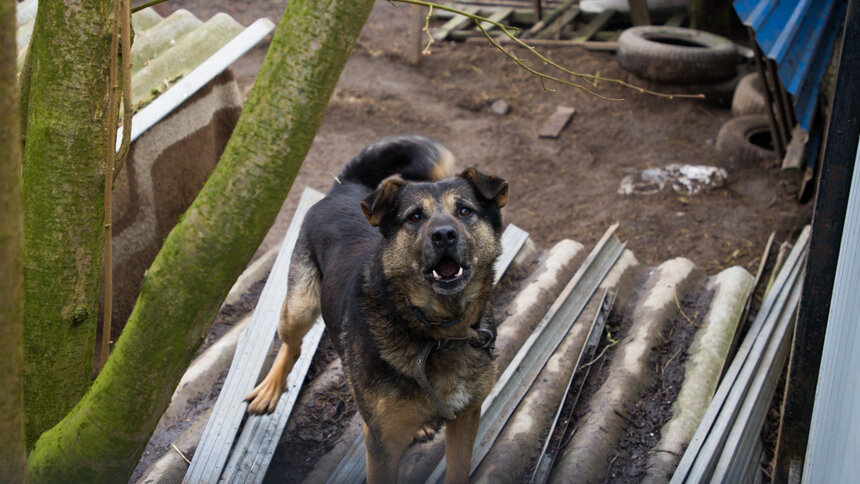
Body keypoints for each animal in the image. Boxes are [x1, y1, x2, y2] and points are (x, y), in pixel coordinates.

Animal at [245, 134, 508, 482]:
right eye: (415, 217)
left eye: (465, 211)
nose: (444, 235)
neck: (439, 333)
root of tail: (346, 186)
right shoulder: (381, 442)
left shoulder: (467, 416)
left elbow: (458, 469)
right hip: (300, 306)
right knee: (292, 345)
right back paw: (271, 388)